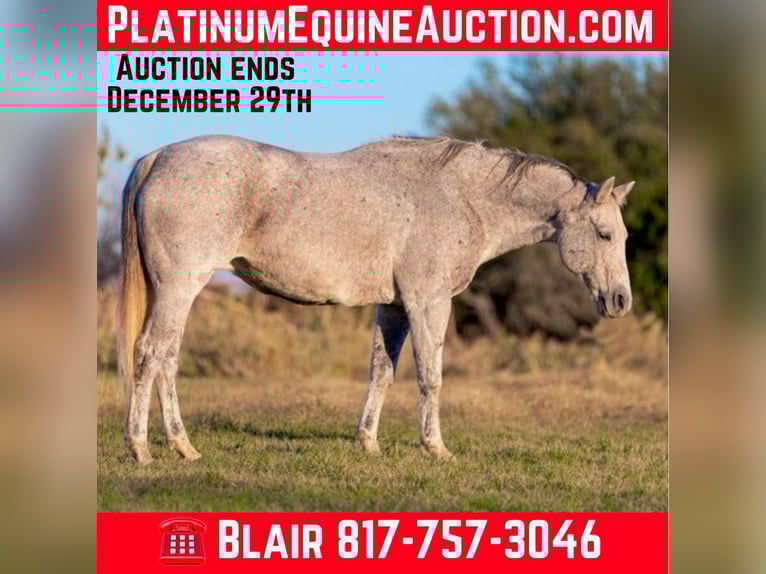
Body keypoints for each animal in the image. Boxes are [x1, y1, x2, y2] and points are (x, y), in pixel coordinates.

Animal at [118, 135, 635, 465]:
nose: (620, 301)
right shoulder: (429, 302)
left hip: (176, 292)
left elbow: (382, 372)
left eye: (623, 235)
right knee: (150, 354)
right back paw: (144, 449)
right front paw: (436, 448)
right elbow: (430, 376)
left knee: (166, 359)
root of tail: (157, 157)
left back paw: (181, 447)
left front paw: (368, 443)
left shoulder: (396, 307)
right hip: (180, 287)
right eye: (604, 234)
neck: (461, 197)